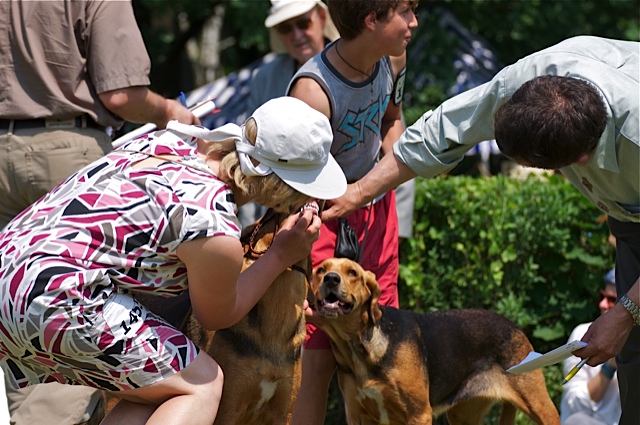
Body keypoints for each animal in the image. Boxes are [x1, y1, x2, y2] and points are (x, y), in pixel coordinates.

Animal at [308, 256, 560, 422]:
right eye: (320, 270)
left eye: (352, 273)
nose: (331, 279)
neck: (358, 347)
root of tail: (514, 325)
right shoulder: (357, 414)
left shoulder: (418, 413)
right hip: (462, 415)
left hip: (539, 405)